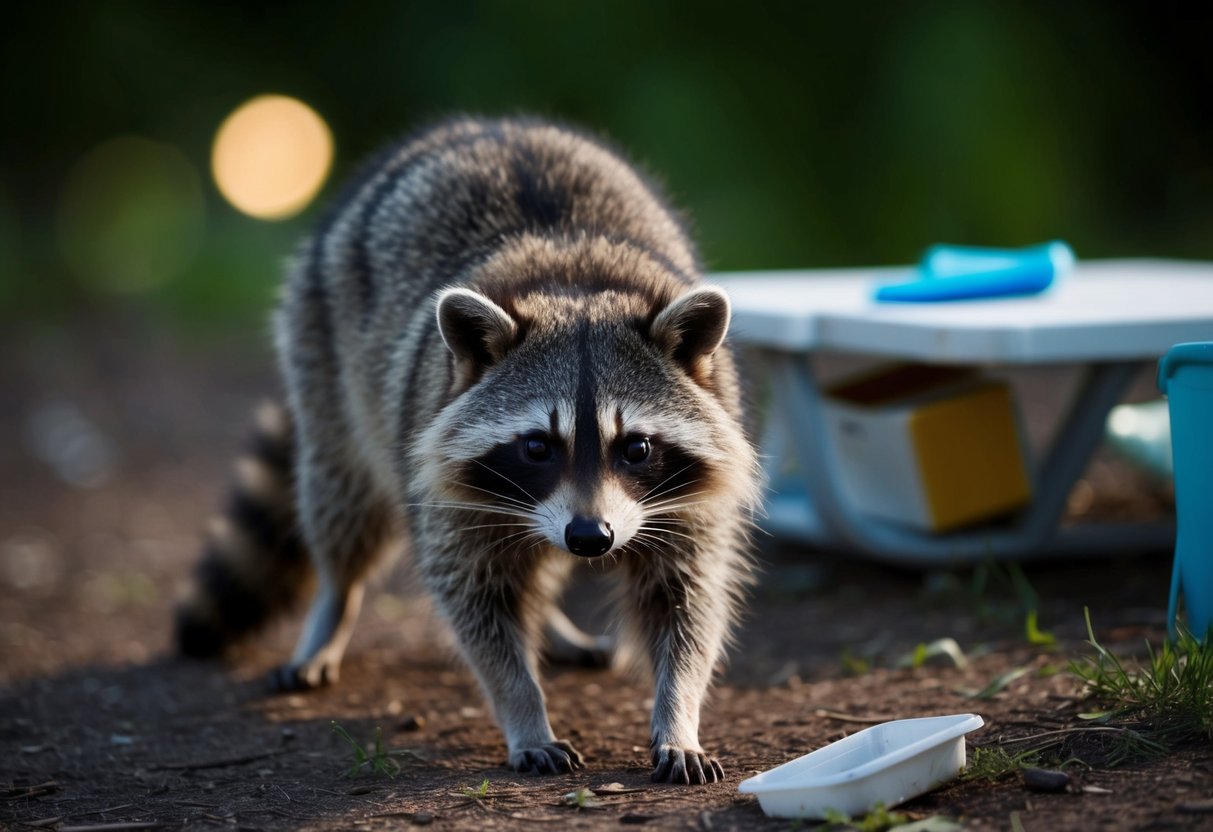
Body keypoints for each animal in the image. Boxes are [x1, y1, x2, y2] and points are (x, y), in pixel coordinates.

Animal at [175, 117, 761, 784]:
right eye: (537, 446)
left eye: (635, 446)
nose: (591, 537)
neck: (575, 285)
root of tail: (491, 125)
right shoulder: (451, 487)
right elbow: (477, 604)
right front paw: (524, 708)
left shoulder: (687, 494)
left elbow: (688, 602)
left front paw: (678, 712)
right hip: (322, 350)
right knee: (342, 500)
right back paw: (334, 602)